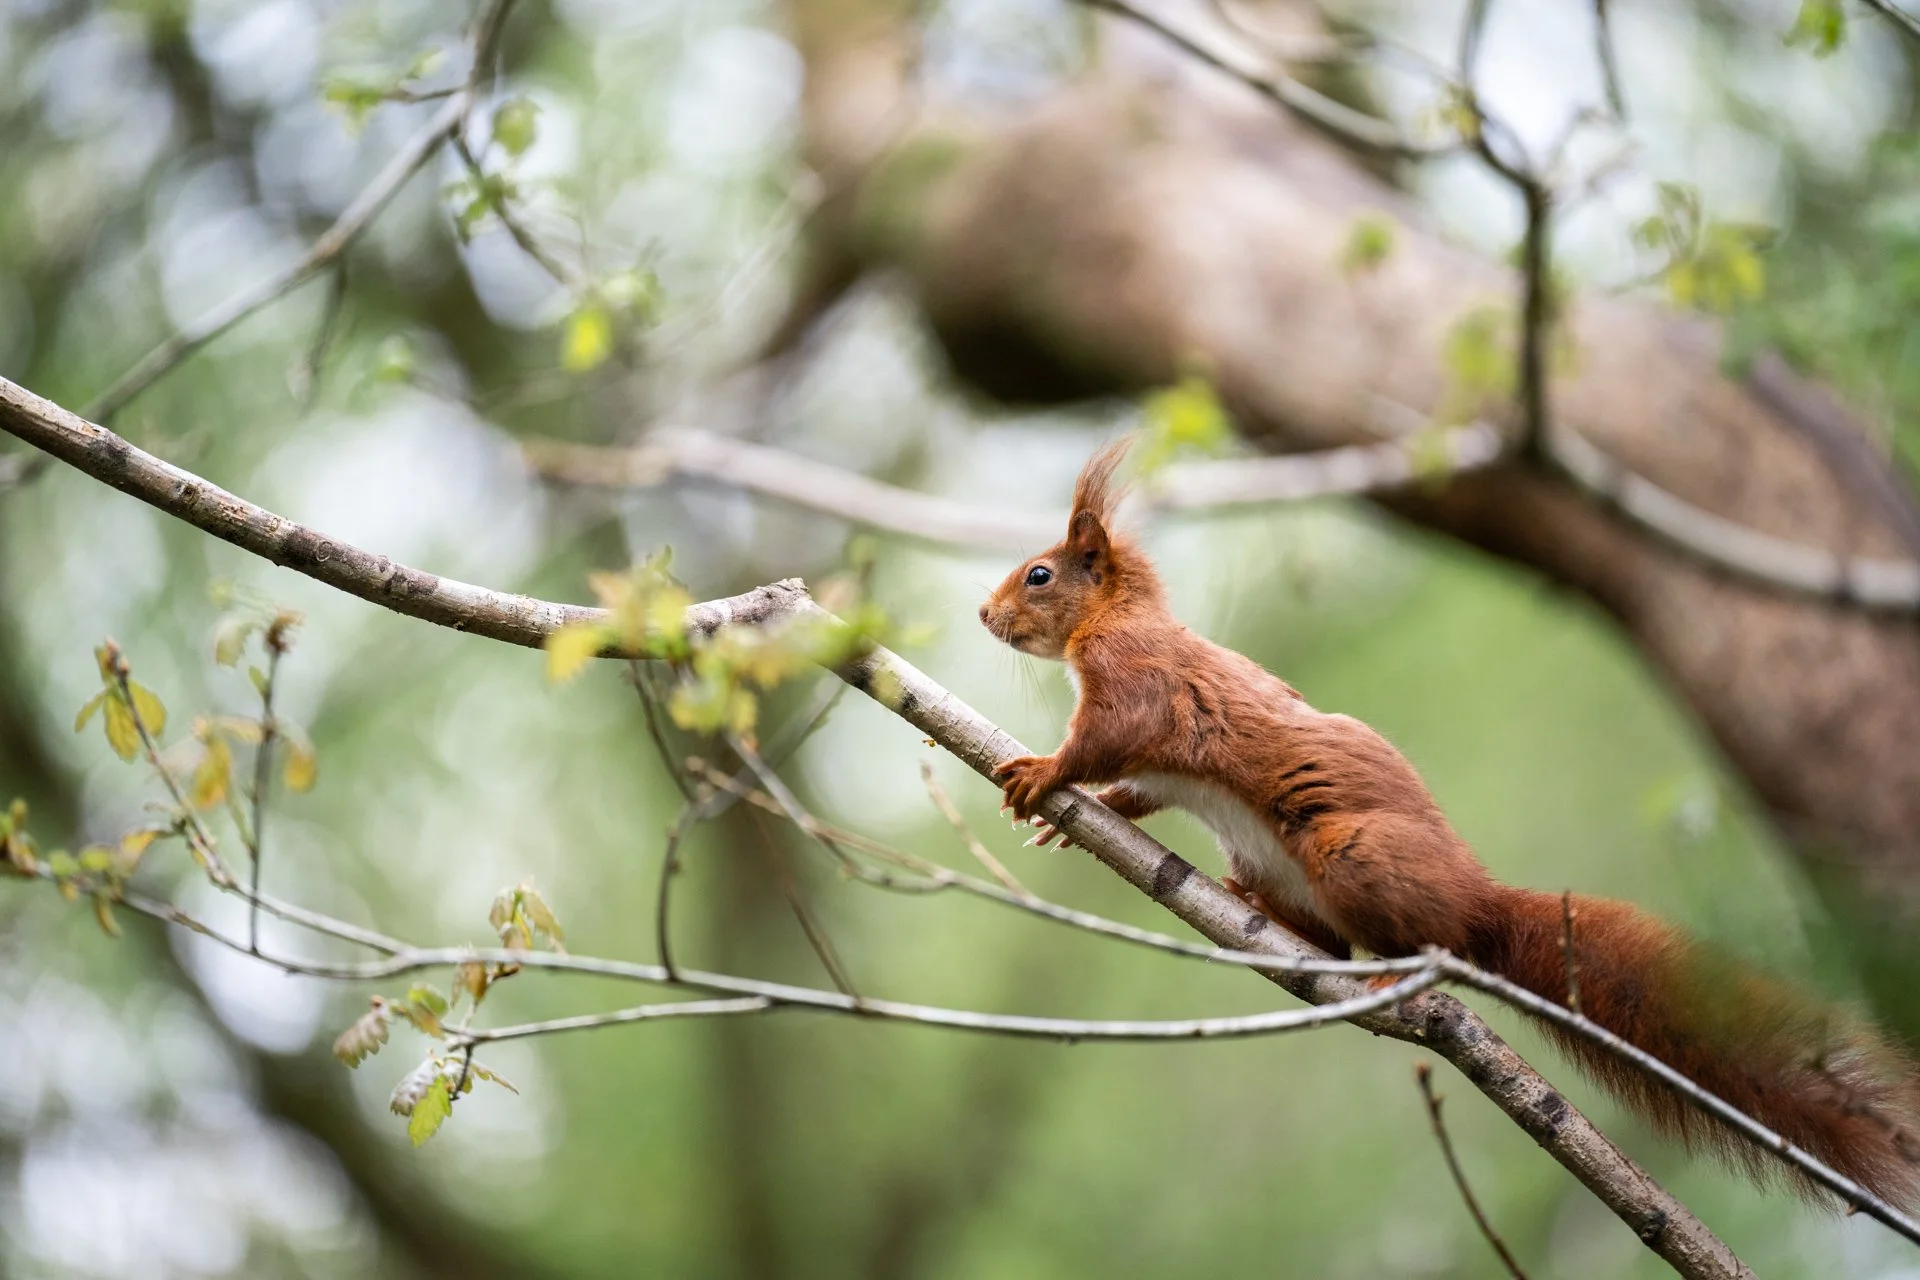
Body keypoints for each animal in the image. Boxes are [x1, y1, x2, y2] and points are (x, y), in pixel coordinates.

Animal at [979, 438, 1920, 1206]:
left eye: (1039, 575)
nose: (986, 617)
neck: (1114, 622)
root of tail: (1479, 900)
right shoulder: (1159, 762)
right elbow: (1138, 789)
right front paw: (1086, 814)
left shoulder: (1138, 683)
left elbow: (1104, 741)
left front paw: (1044, 773)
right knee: (1331, 947)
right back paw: (1252, 904)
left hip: (1350, 854)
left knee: (1407, 944)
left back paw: (1394, 978)